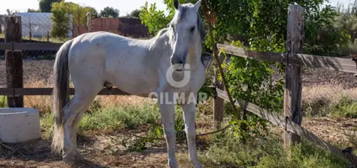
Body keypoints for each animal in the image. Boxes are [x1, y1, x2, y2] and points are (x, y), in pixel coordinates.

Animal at [51, 0, 204, 167]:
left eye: (192, 28)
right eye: (172, 26)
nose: (176, 60)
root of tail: (74, 41)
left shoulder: (189, 100)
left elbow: (191, 132)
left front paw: (195, 162)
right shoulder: (166, 100)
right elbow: (170, 133)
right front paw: (173, 163)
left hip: (87, 95)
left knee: (75, 119)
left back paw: (75, 154)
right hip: (85, 93)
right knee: (67, 116)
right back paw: (67, 155)